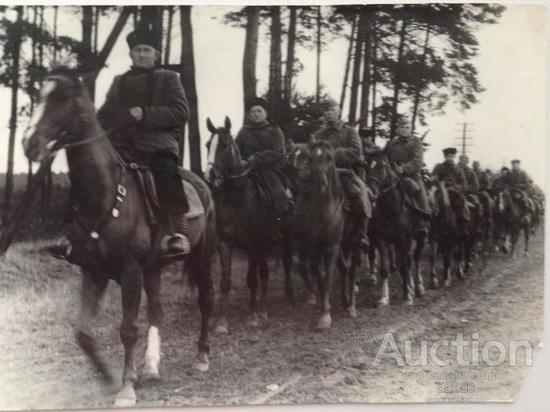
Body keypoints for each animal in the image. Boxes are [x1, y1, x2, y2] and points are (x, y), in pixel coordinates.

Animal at [22, 72, 216, 408]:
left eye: (64, 100)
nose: (29, 143)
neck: (105, 193)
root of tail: (200, 181)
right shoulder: (92, 271)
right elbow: (83, 333)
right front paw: (110, 377)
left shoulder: (130, 271)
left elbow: (127, 329)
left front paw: (126, 388)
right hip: (153, 268)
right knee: (156, 311)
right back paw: (151, 367)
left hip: (200, 255)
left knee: (205, 299)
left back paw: (202, 356)